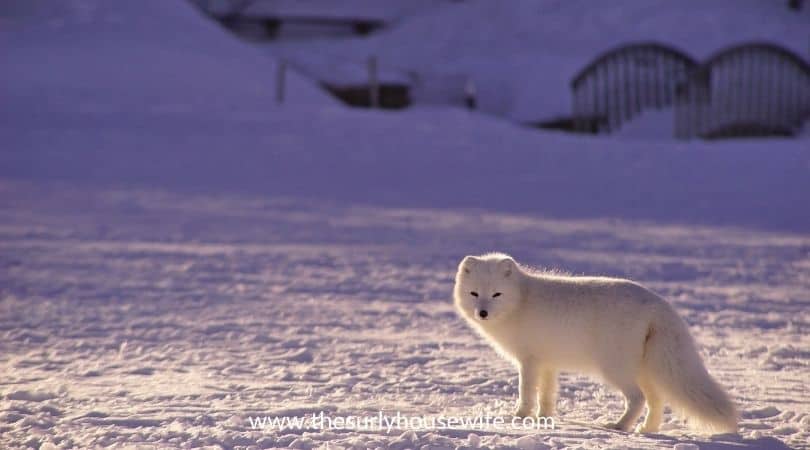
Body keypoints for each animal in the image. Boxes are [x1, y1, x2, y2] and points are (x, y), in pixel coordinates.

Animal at [452, 253, 736, 432]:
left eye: (496, 294)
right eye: (474, 293)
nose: (482, 313)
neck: (521, 300)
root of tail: (659, 304)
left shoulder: (529, 361)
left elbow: (526, 391)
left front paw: (520, 417)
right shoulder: (547, 363)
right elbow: (547, 394)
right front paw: (545, 419)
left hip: (614, 368)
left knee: (638, 398)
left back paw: (620, 426)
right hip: (645, 369)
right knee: (656, 400)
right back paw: (646, 430)